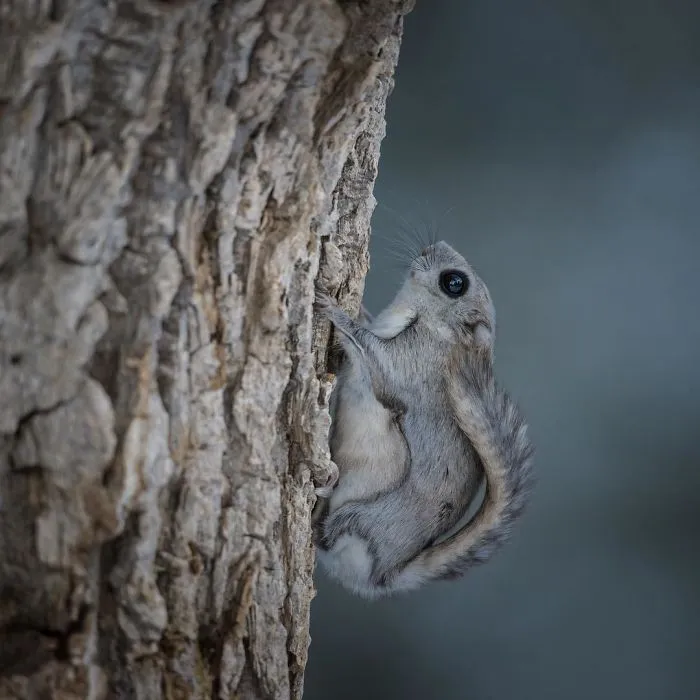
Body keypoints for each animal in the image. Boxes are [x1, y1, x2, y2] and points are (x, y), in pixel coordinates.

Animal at [313, 240, 534, 599]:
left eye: (454, 283)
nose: (434, 245)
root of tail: (383, 575)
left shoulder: (409, 365)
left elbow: (371, 352)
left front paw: (332, 308)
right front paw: (355, 308)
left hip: (362, 520)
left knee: (328, 536)